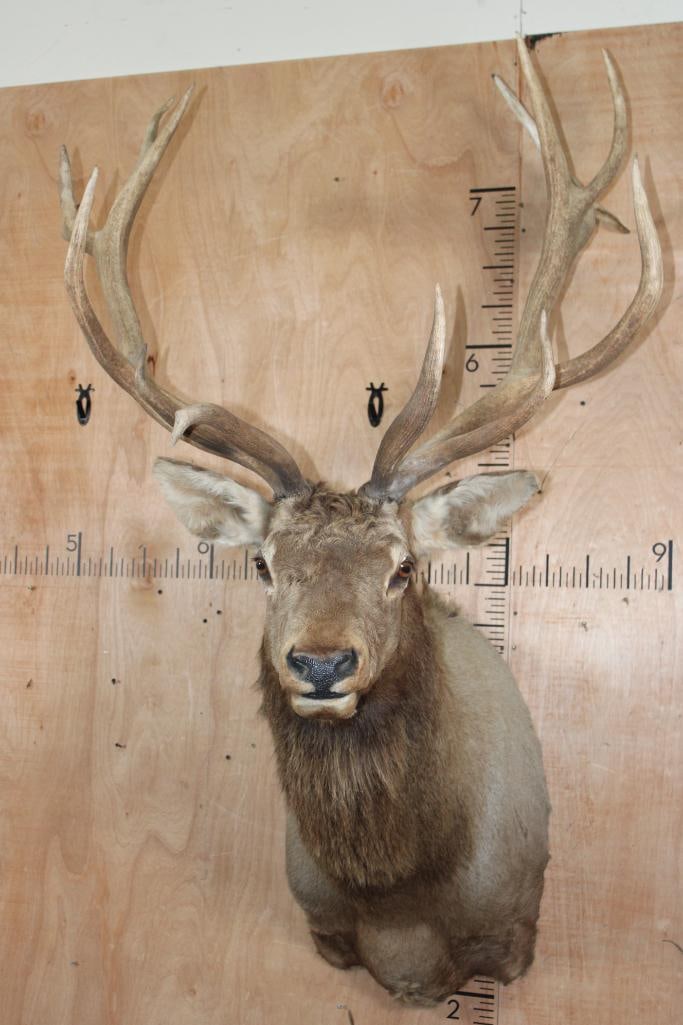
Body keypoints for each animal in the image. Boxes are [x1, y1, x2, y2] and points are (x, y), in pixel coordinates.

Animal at [59, 39, 662, 1007]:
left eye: (401, 565)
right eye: (262, 564)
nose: (320, 662)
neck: (401, 899)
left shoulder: (508, 935)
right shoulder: (324, 932)